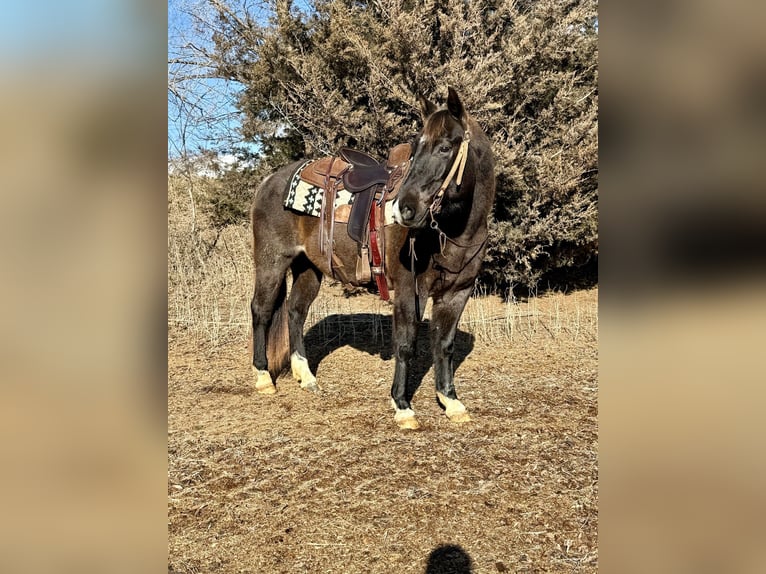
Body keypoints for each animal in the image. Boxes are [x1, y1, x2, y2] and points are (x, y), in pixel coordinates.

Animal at [249, 87, 496, 429]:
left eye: (445, 147)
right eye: (416, 148)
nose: (405, 208)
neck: (453, 230)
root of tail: (269, 181)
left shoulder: (458, 292)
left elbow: (444, 345)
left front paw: (451, 400)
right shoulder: (409, 290)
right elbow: (405, 344)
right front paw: (403, 406)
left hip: (308, 267)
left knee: (296, 311)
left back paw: (306, 376)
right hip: (271, 262)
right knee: (261, 310)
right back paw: (262, 378)